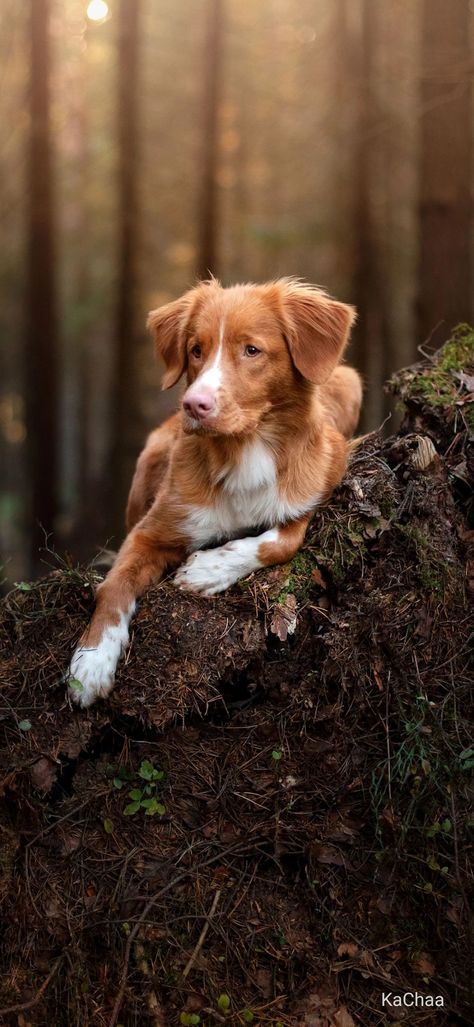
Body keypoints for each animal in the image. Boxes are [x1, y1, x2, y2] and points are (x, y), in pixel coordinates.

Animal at [67, 275, 363, 706]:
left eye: (252, 350)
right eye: (195, 350)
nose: (194, 405)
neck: (242, 451)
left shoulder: (315, 486)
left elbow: (281, 542)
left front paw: (207, 569)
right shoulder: (150, 532)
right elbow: (114, 586)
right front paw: (90, 662)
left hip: (347, 379)